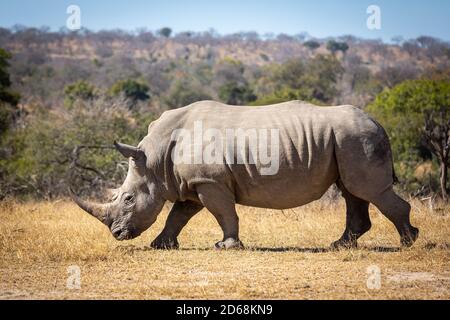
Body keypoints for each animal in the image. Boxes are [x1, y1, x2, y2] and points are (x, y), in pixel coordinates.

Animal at [71, 101, 418, 249]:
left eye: (128, 199)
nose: (117, 234)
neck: (154, 159)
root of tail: (377, 121)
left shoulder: (209, 181)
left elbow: (223, 213)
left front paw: (226, 246)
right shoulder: (194, 182)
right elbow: (178, 215)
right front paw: (160, 245)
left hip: (356, 137)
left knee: (368, 190)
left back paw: (407, 242)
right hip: (346, 140)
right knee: (353, 192)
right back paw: (340, 245)